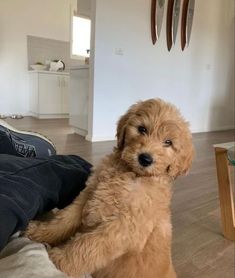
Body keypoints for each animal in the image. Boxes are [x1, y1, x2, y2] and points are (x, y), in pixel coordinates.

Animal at [25, 99, 195, 276]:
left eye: (168, 142)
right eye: (142, 129)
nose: (145, 159)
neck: (131, 174)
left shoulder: (123, 227)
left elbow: (88, 245)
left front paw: (58, 260)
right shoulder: (89, 194)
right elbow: (65, 219)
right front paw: (39, 232)